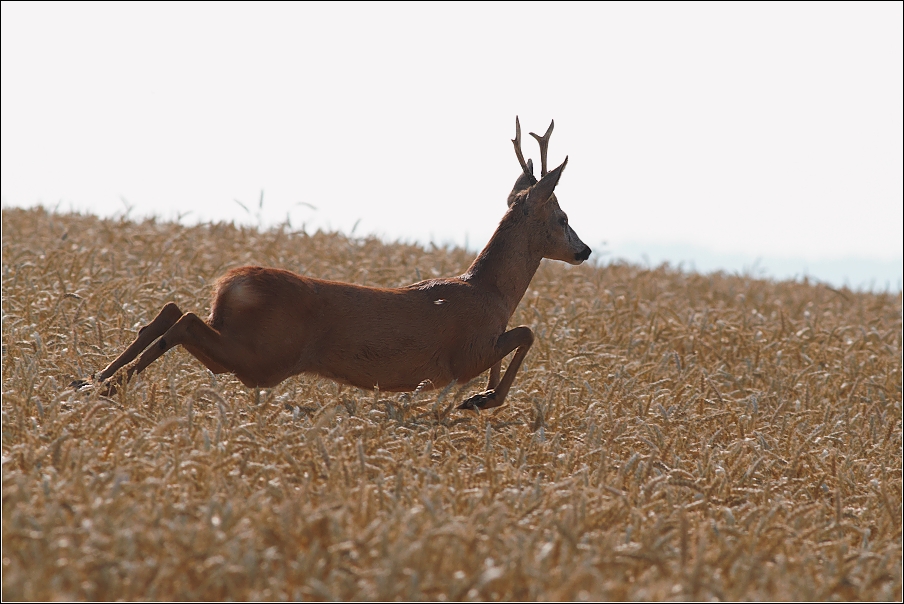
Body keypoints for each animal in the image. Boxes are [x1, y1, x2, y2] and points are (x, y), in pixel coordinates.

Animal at [83, 117, 592, 410]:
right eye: (563, 217)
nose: (584, 250)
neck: (489, 293)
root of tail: (228, 284)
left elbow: (520, 335)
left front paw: (481, 399)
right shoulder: (463, 354)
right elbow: (526, 333)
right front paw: (483, 400)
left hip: (249, 347)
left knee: (172, 312)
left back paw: (89, 381)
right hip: (265, 357)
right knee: (184, 320)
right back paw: (107, 387)